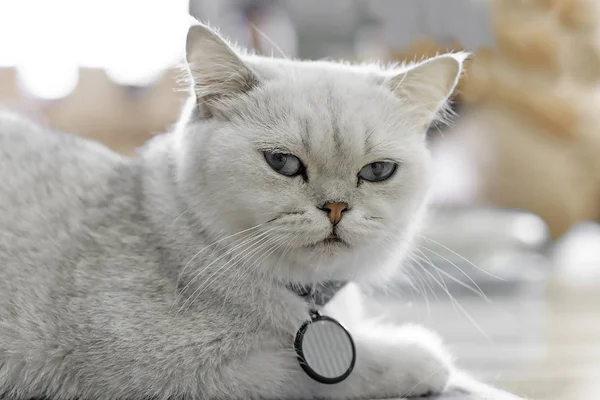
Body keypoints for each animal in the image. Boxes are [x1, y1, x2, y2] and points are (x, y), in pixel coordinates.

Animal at [0, 21, 468, 400]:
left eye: (377, 171)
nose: (336, 207)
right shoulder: (182, 375)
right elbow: (317, 373)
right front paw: (423, 357)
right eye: (282, 163)